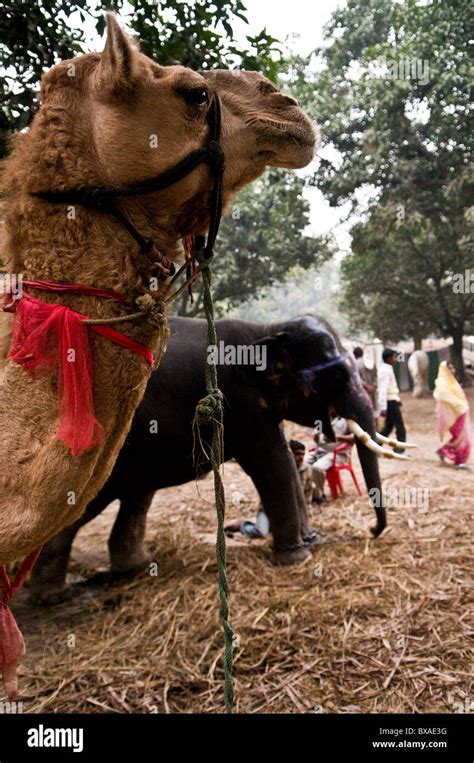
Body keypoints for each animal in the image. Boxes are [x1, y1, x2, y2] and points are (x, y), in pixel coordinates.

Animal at [31, 316, 390, 604]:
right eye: (339, 377)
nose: (371, 529)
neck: (267, 330)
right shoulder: (240, 404)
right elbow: (271, 465)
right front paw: (296, 557)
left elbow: (286, 461)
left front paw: (309, 540)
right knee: (82, 506)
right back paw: (52, 596)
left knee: (136, 497)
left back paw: (130, 568)